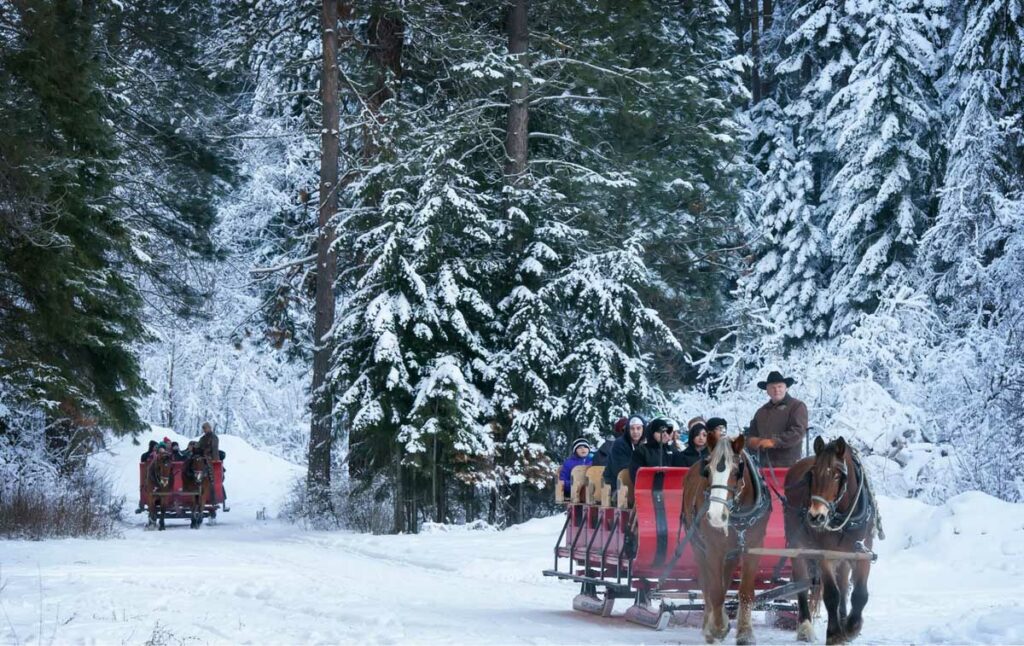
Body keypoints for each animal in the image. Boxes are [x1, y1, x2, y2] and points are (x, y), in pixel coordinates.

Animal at [684, 432, 770, 642]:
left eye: (736, 471)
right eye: (707, 471)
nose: (716, 516)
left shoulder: (754, 546)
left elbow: (745, 591)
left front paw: (745, 632)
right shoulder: (713, 548)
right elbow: (714, 590)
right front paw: (717, 628)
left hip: (731, 553)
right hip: (698, 546)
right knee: (707, 584)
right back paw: (709, 625)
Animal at [782, 438, 880, 642]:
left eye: (837, 475)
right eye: (812, 474)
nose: (815, 517)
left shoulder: (863, 552)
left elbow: (859, 594)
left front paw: (851, 627)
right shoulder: (825, 555)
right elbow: (831, 595)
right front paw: (834, 633)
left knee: (843, 585)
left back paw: (842, 618)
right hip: (797, 545)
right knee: (801, 583)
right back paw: (804, 626)